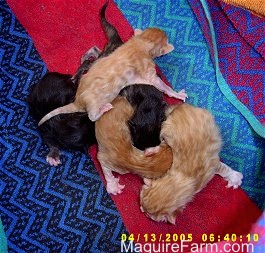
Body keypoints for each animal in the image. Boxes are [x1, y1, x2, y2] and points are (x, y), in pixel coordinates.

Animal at [38, 27, 187, 125]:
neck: (142, 42)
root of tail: (77, 101)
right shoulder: (148, 71)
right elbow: (162, 86)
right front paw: (177, 94)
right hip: (94, 104)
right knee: (92, 117)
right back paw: (103, 108)